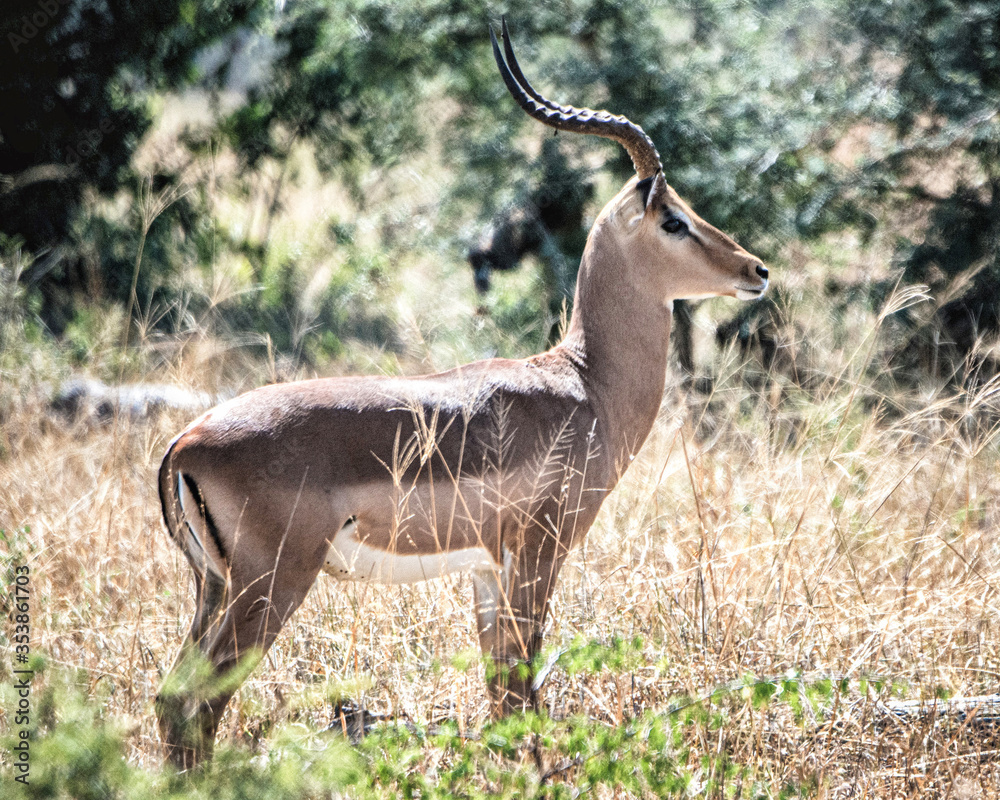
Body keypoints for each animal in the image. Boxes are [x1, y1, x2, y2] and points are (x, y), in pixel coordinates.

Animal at [155, 20, 769, 768]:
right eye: (672, 219)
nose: (757, 270)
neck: (584, 383)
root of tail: (186, 443)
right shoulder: (537, 553)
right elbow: (523, 685)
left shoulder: (484, 568)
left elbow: (499, 692)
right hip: (271, 584)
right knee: (198, 703)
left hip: (212, 588)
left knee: (169, 699)